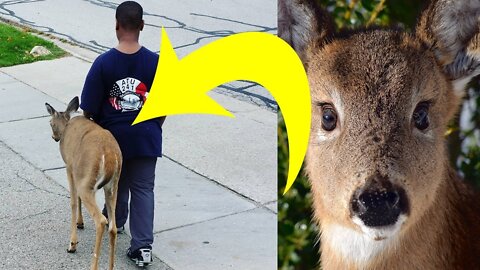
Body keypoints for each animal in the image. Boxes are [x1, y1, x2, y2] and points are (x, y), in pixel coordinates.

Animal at [45, 97, 122, 270]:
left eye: (50, 122)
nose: (54, 137)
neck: (66, 126)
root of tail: (109, 154)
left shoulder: (70, 167)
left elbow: (73, 201)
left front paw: (72, 243)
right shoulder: (78, 173)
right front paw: (80, 223)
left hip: (87, 182)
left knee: (101, 220)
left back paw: (92, 265)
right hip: (113, 185)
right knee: (113, 227)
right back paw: (111, 266)